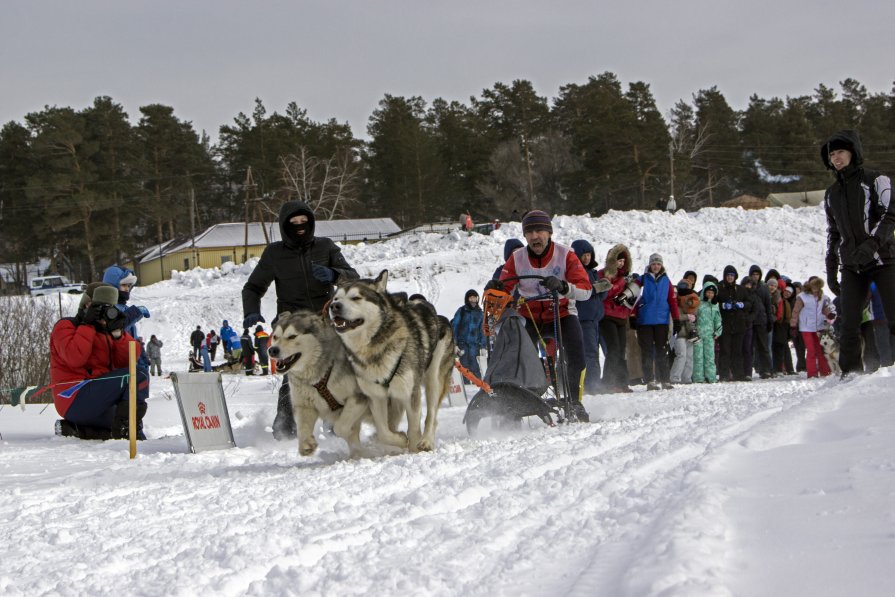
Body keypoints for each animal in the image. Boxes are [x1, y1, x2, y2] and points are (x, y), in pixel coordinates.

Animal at [270, 310, 374, 454]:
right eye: (275, 337)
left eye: (292, 336)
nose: (272, 350)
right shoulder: (304, 404)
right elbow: (303, 426)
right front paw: (306, 444)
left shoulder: (358, 398)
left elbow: (340, 428)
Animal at [328, 270, 456, 452]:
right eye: (335, 299)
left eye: (356, 297)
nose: (334, 307)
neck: (374, 347)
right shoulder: (375, 397)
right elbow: (384, 431)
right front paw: (400, 440)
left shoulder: (410, 393)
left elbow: (414, 428)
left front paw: (413, 449)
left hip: (434, 379)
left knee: (431, 415)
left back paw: (426, 441)